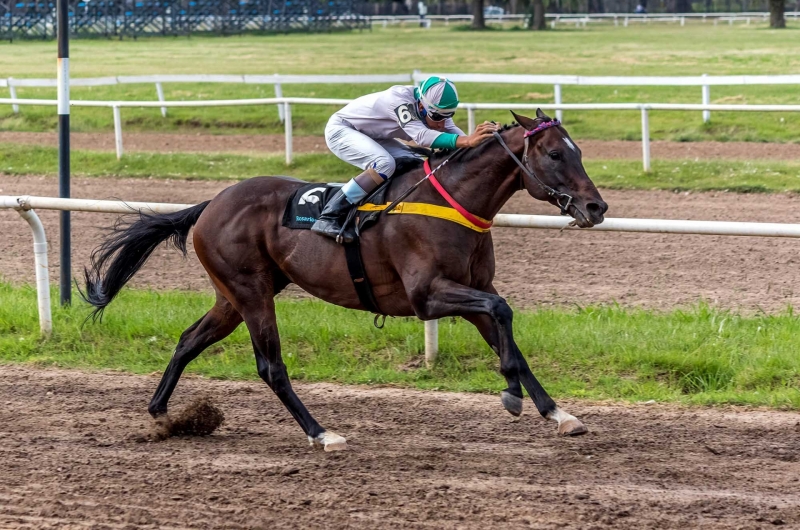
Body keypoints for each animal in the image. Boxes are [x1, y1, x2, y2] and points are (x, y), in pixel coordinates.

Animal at [83, 110, 608, 450]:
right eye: (556, 153)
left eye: (579, 151)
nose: (597, 206)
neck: (452, 201)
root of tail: (212, 203)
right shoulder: (427, 297)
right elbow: (503, 316)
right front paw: (514, 396)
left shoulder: (474, 290)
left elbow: (507, 333)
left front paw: (555, 412)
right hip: (251, 293)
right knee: (270, 366)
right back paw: (322, 433)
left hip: (234, 295)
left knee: (189, 340)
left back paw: (161, 415)